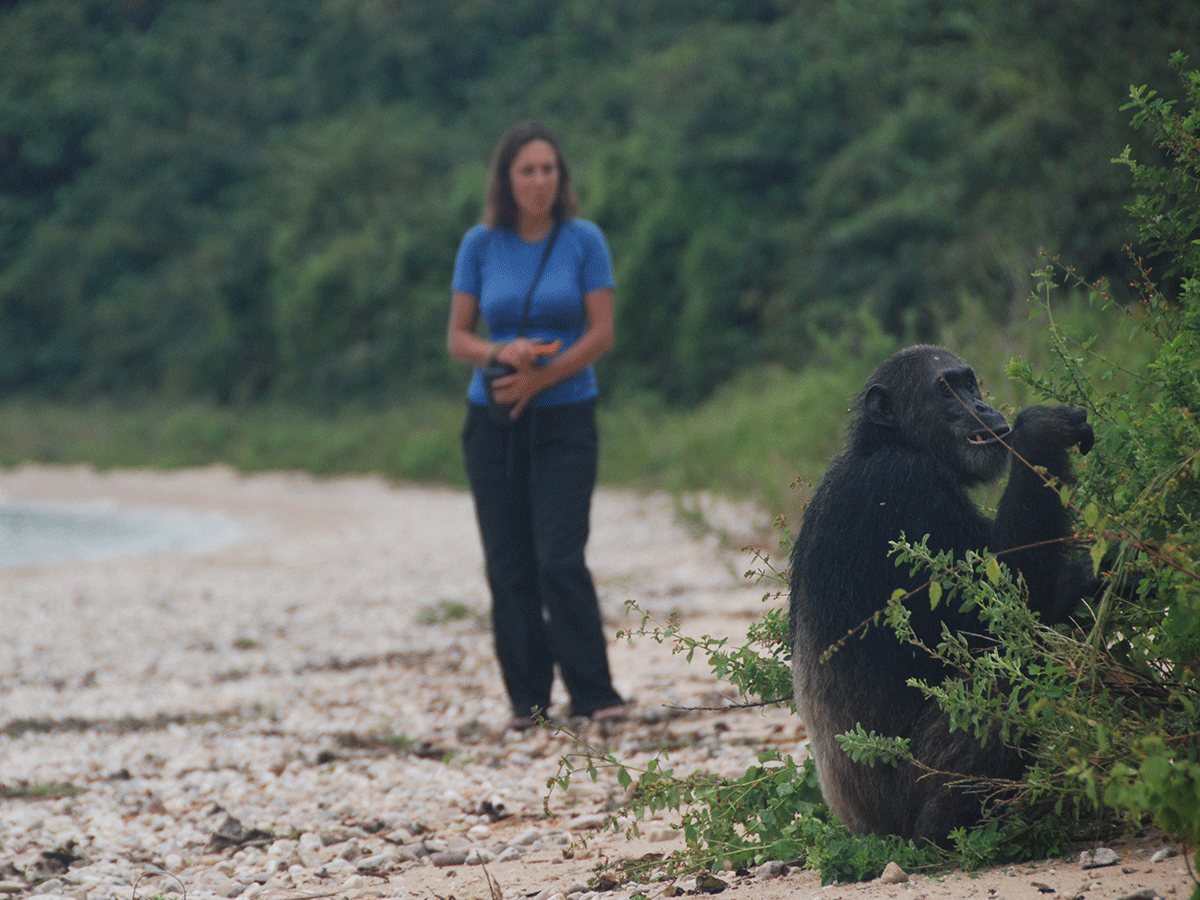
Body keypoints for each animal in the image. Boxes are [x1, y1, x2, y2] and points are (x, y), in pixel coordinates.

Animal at [787, 348, 1099, 844]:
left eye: (970, 384)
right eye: (948, 390)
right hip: (900, 800)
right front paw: (1041, 431)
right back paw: (962, 828)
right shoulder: (910, 489)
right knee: (1001, 681)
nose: (983, 406)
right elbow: (1005, 602)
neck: (898, 444)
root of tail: (857, 826)